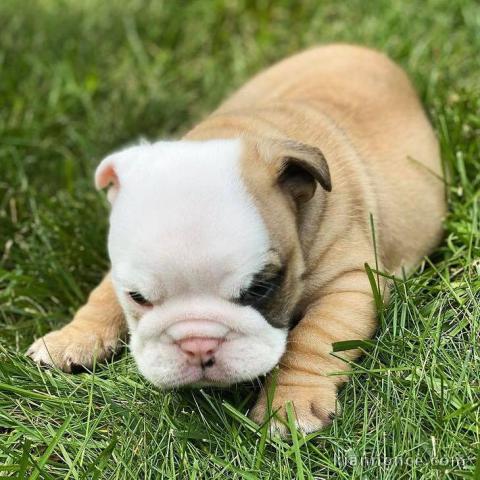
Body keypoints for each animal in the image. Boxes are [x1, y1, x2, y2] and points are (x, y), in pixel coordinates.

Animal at [27, 45, 446, 436]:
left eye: (261, 288)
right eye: (138, 297)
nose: (198, 344)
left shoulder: (351, 283)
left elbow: (314, 338)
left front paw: (290, 403)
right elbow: (101, 297)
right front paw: (71, 338)